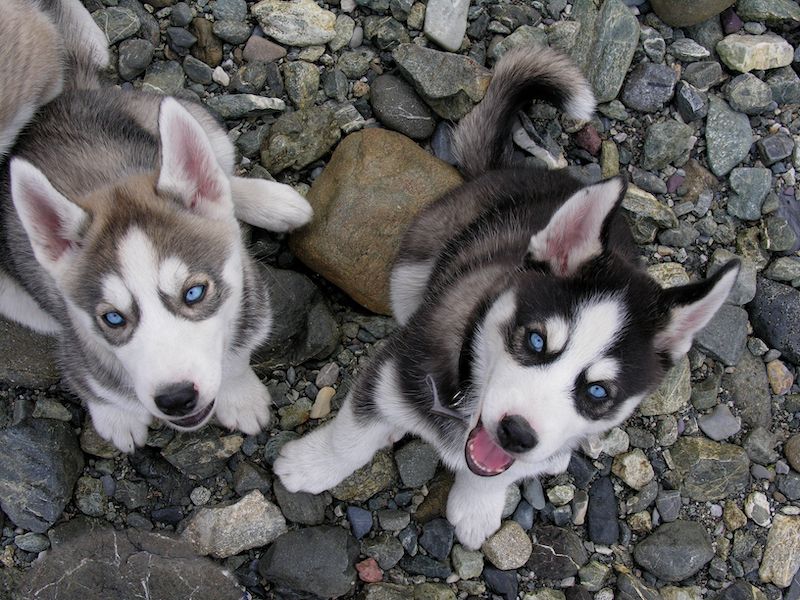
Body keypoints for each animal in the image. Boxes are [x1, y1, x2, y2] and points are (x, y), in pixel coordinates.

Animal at [0, 0, 312, 450]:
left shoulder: (252, 303)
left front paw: (239, 393)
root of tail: (59, 99)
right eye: (113, 319)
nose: (176, 398)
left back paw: (274, 201)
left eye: (194, 293)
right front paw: (115, 416)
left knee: (220, 175)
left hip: (196, 124)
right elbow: (94, 380)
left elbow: (235, 357)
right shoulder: (80, 342)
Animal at [274, 44, 736, 548]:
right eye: (536, 341)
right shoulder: (391, 374)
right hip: (412, 268)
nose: (516, 433)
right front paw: (311, 466)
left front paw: (477, 505)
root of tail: (512, 170)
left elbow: (499, 473)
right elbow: (352, 436)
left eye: (597, 391)